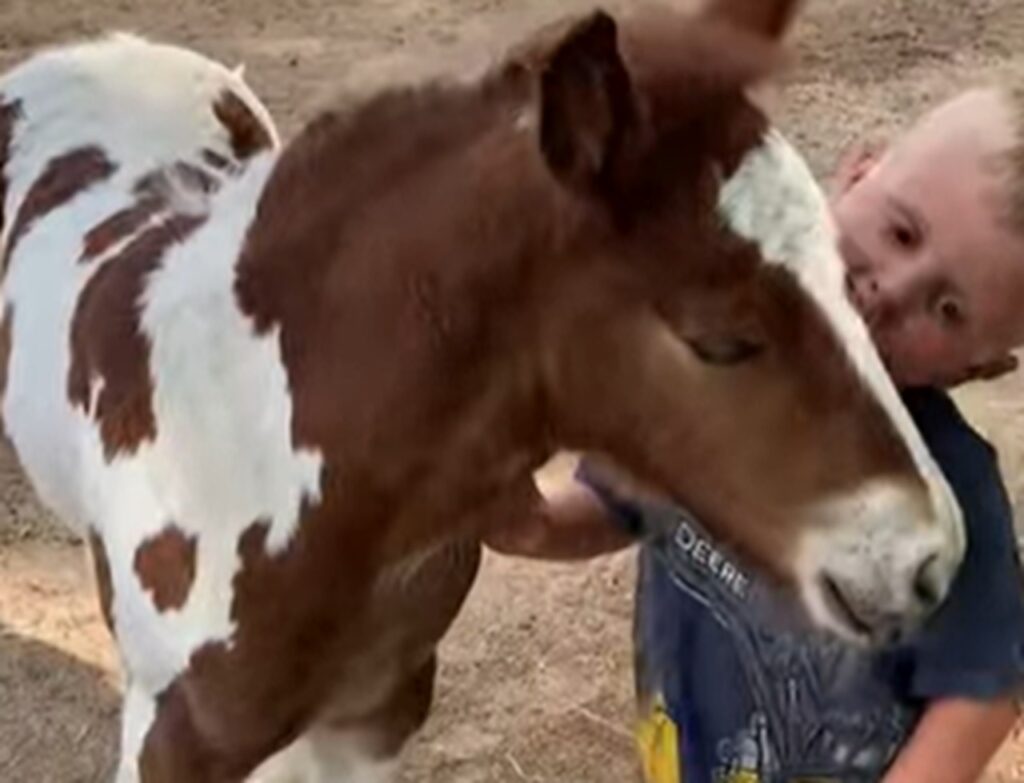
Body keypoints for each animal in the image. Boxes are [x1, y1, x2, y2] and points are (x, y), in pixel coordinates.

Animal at [0, 1, 962, 781]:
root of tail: (90, 51)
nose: (930, 560)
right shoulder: (176, 740)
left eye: (847, 274)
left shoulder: (382, 704)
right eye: (720, 338)